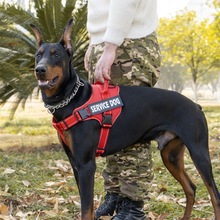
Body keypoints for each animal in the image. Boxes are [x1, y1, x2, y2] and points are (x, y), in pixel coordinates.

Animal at [30, 18, 220, 220]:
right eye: (38, 55)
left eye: (56, 55)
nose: (39, 69)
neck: (72, 100)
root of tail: (196, 106)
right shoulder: (75, 163)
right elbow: (86, 205)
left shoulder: (86, 165)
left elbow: (86, 209)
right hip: (171, 155)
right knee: (191, 188)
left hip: (198, 151)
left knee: (214, 195)